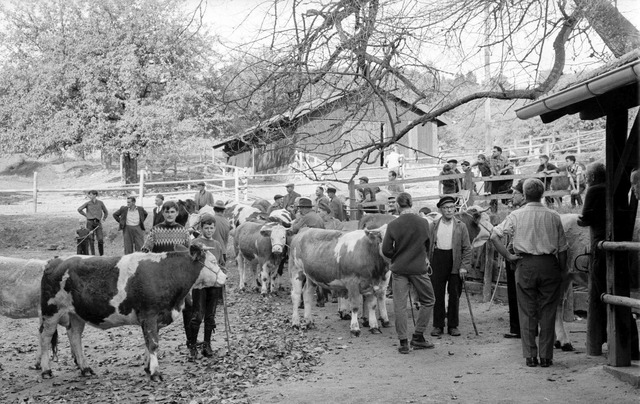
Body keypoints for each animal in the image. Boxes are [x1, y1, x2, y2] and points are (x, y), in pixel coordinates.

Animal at [37, 243, 226, 382]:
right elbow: (153, 343)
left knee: (75, 336)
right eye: (213, 262)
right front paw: (156, 373)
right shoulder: (149, 315)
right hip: (51, 312)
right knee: (45, 338)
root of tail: (54, 261)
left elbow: (148, 343)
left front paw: (148, 368)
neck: (165, 273)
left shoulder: (154, 319)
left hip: (76, 314)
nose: (225, 277)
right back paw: (46, 370)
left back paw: (85, 368)